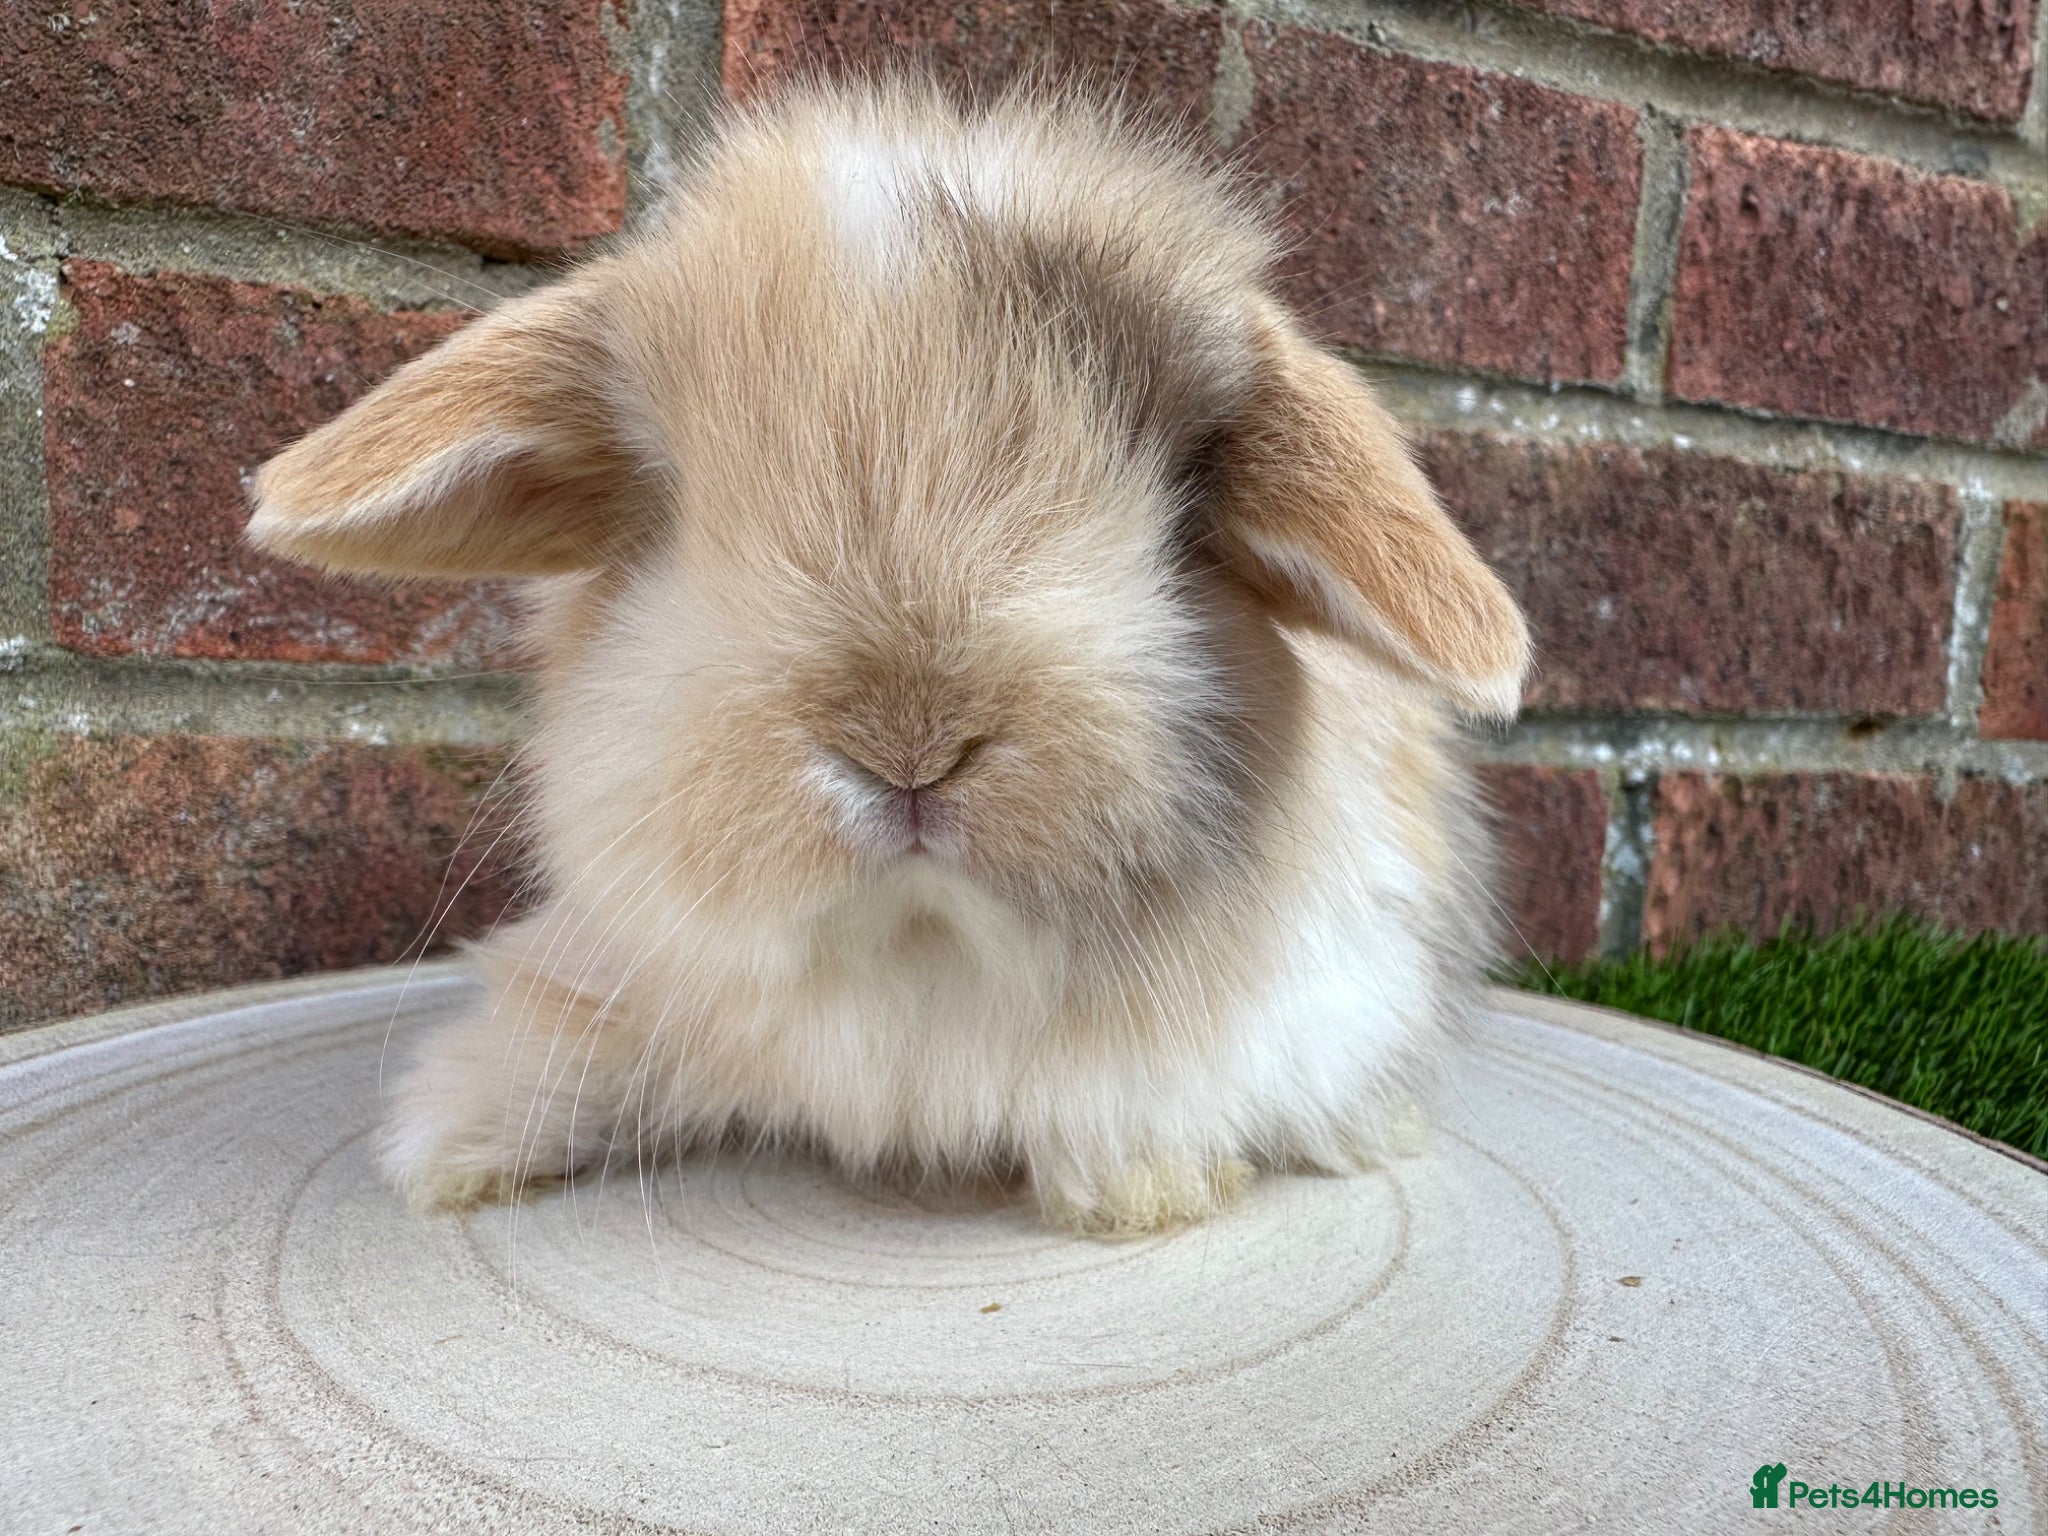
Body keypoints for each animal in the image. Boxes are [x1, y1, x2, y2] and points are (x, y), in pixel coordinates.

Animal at [247, 77, 1529, 1236]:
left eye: (1179, 517)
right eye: (679, 512)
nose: (909, 746)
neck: (921, 948)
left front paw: (1135, 1185)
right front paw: (445, 1145)